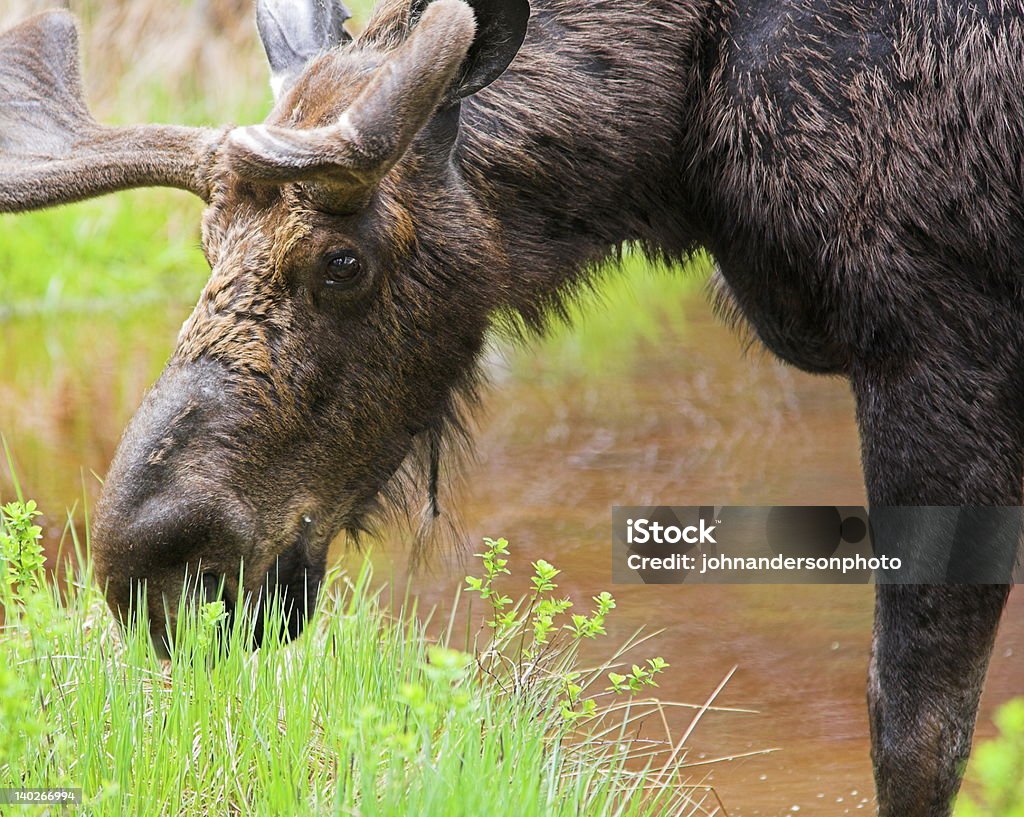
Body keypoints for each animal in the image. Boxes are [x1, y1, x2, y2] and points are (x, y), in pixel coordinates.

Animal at [2, 0, 1024, 814]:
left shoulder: (941, 346)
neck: (685, 125)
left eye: (343, 260)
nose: (150, 563)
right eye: (207, 241)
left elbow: (916, 732)